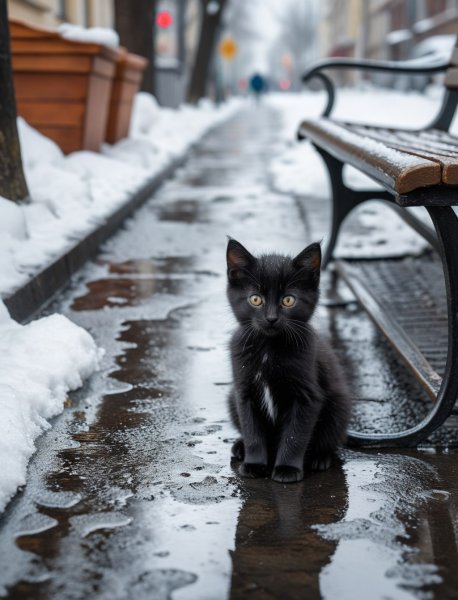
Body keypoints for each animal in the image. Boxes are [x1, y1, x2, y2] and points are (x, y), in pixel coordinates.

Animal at [227, 239, 352, 482]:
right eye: (255, 299)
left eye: (288, 300)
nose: (271, 318)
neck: (269, 350)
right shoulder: (243, 391)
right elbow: (252, 430)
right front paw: (254, 464)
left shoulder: (308, 396)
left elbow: (295, 435)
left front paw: (287, 469)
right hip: (231, 397)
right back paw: (240, 447)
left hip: (340, 403)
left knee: (330, 439)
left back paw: (320, 458)